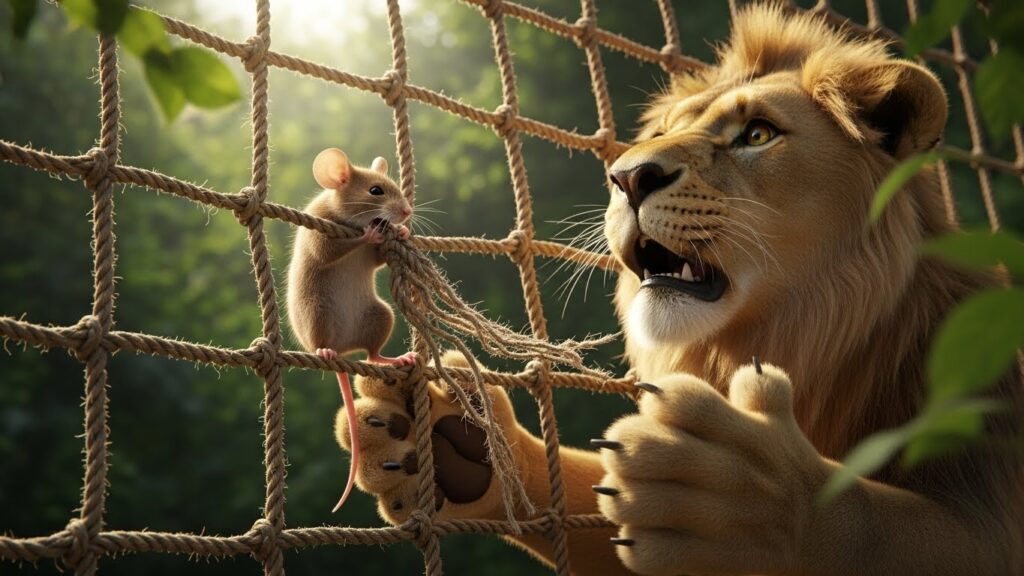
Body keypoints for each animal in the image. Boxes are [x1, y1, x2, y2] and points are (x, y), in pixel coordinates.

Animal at [331, 4, 1024, 574]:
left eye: (757, 134)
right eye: (656, 136)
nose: (628, 176)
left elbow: (873, 525)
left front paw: (733, 498)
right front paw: (445, 436)